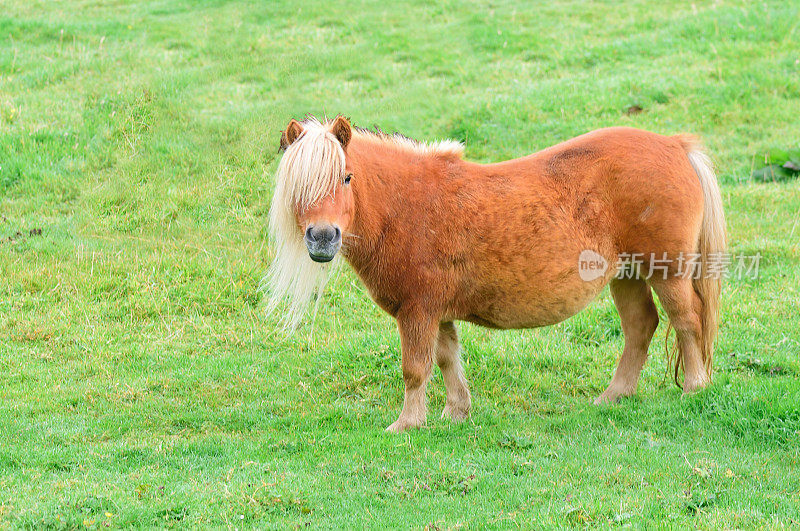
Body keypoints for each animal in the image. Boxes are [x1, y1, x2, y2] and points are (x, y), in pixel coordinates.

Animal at [268, 115, 724, 432]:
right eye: (297, 188)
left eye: (346, 177)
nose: (322, 238)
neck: (406, 206)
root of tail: (675, 145)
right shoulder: (438, 313)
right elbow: (448, 359)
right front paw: (456, 412)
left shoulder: (418, 311)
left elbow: (415, 368)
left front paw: (407, 424)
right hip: (626, 274)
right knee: (640, 327)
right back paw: (613, 396)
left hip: (667, 272)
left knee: (687, 321)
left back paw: (694, 388)